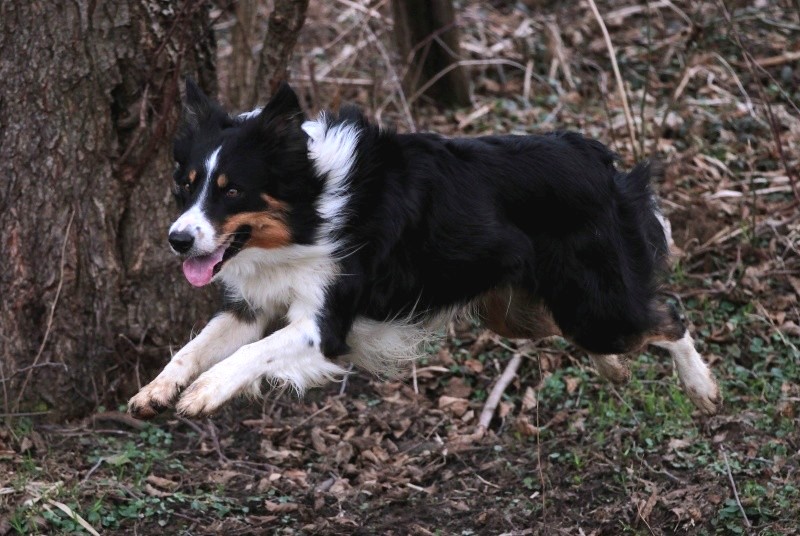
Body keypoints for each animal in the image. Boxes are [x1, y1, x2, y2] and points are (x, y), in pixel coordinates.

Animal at [130, 80, 720, 422]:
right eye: (185, 185)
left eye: (231, 191)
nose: (177, 240)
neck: (310, 207)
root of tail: (599, 159)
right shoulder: (252, 306)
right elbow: (198, 345)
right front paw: (157, 390)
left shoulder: (325, 323)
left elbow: (255, 353)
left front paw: (205, 392)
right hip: (518, 310)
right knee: (586, 329)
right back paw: (615, 369)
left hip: (592, 303)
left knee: (668, 318)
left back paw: (703, 388)